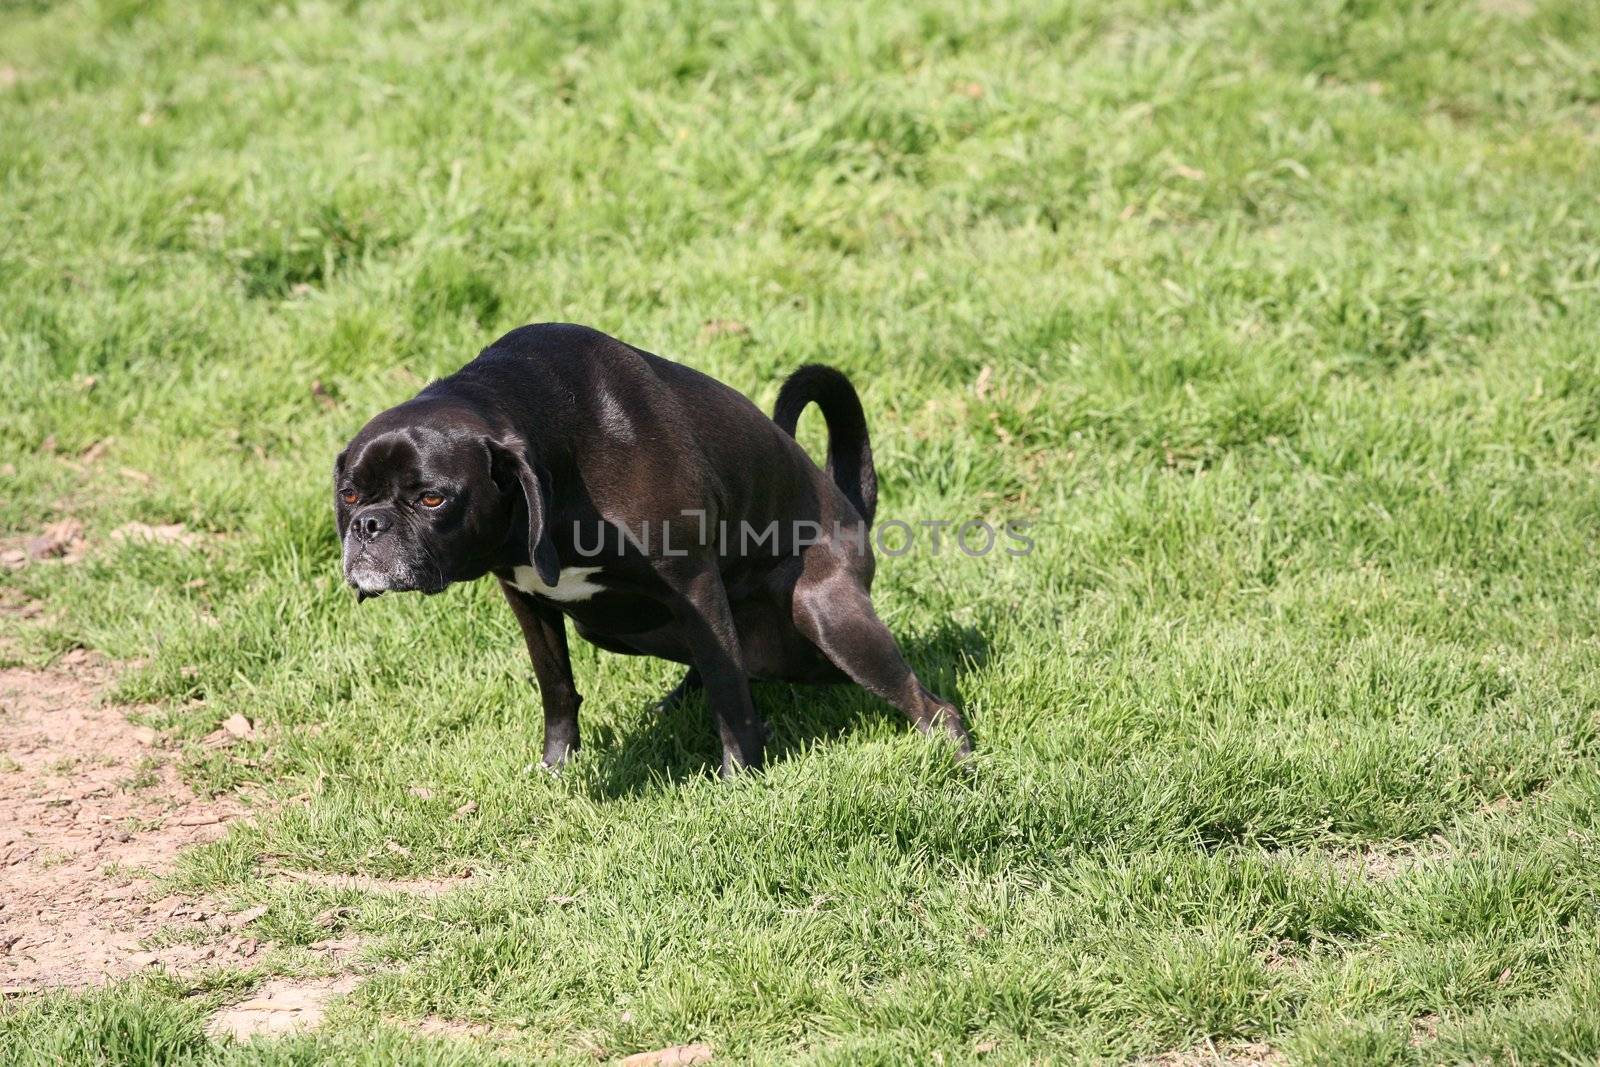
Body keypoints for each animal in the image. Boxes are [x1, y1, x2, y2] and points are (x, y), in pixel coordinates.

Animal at [331, 323, 966, 777]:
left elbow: (729, 694)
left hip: (828, 617)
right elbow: (557, 688)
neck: (558, 443)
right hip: (619, 629)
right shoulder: (527, 601)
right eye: (349, 493)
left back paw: (954, 756)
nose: (368, 526)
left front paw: (741, 777)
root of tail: (851, 507)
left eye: (433, 498)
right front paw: (556, 770)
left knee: (931, 705)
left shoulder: (694, 586)